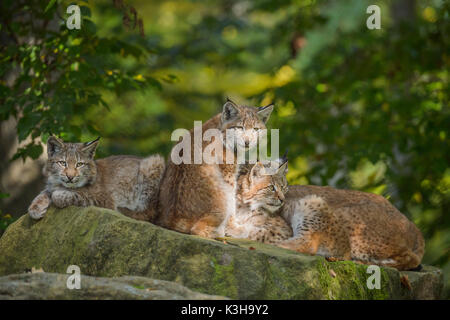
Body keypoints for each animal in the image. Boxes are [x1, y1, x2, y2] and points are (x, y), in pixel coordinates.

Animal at [26, 136, 163, 222]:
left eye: (79, 164)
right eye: (62, 163)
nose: (70, 176)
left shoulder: (103, 200)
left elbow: (68, 194)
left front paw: (58, 195)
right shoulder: (52, 184)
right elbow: (44, 192)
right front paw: (35, 208)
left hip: (155, 161)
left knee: (150, 214)